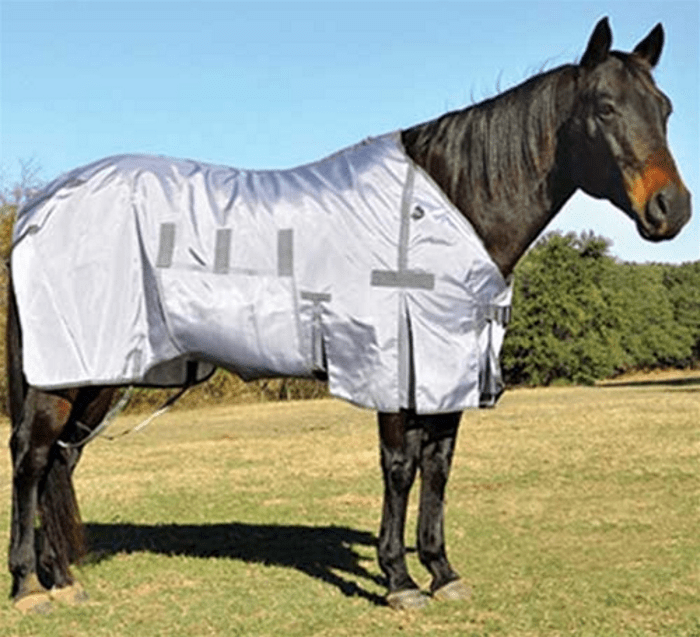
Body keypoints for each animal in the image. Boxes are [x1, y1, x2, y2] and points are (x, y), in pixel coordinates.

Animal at [7, 18, 691, 613]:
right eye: (604, 107)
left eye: (664, 108)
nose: (672, 209)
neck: (445, 206)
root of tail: (40, 207)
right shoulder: (394, 367)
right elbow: (399, 469)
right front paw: (399, 580)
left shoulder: (447, 370)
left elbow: (438, 468)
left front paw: (442, 572)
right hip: (63, 371)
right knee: (31, 458)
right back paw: (28, 586)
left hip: (101, 372)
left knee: (61, 460)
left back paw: (63, 580)